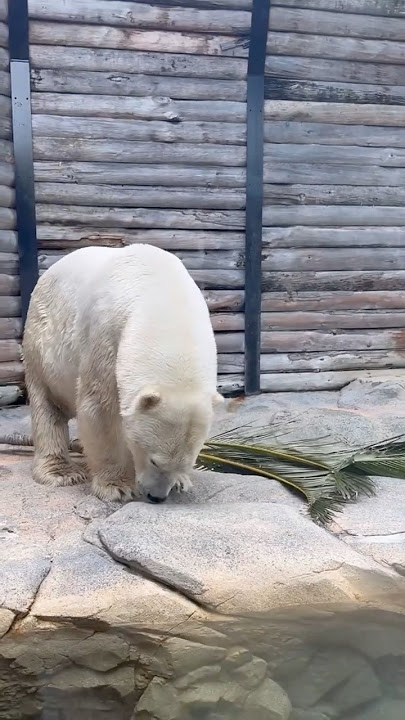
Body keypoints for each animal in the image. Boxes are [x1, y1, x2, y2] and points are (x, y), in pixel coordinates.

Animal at [23, 244, 222, 503]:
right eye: (154, 460)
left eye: (188, 463)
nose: (157, 497)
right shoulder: (107, 332)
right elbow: (102, 408)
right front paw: (117, 487)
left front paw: (181, 482)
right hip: (43, 344)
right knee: (47, 404)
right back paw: (61, 472)